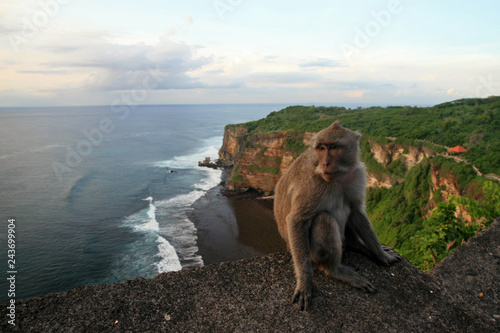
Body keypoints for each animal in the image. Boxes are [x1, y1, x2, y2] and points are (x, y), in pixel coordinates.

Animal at [272, 120, 400, 310]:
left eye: (333, 147)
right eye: (321, 148)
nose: (325, 163)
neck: (338, 177)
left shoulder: (357, 174)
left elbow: (357, 211)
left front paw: (382, 255)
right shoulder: (312, 184)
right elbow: (296, 220)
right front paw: (305, 283)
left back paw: (358, 246)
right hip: (313, 254)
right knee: (324, 218)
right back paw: (334, 270)